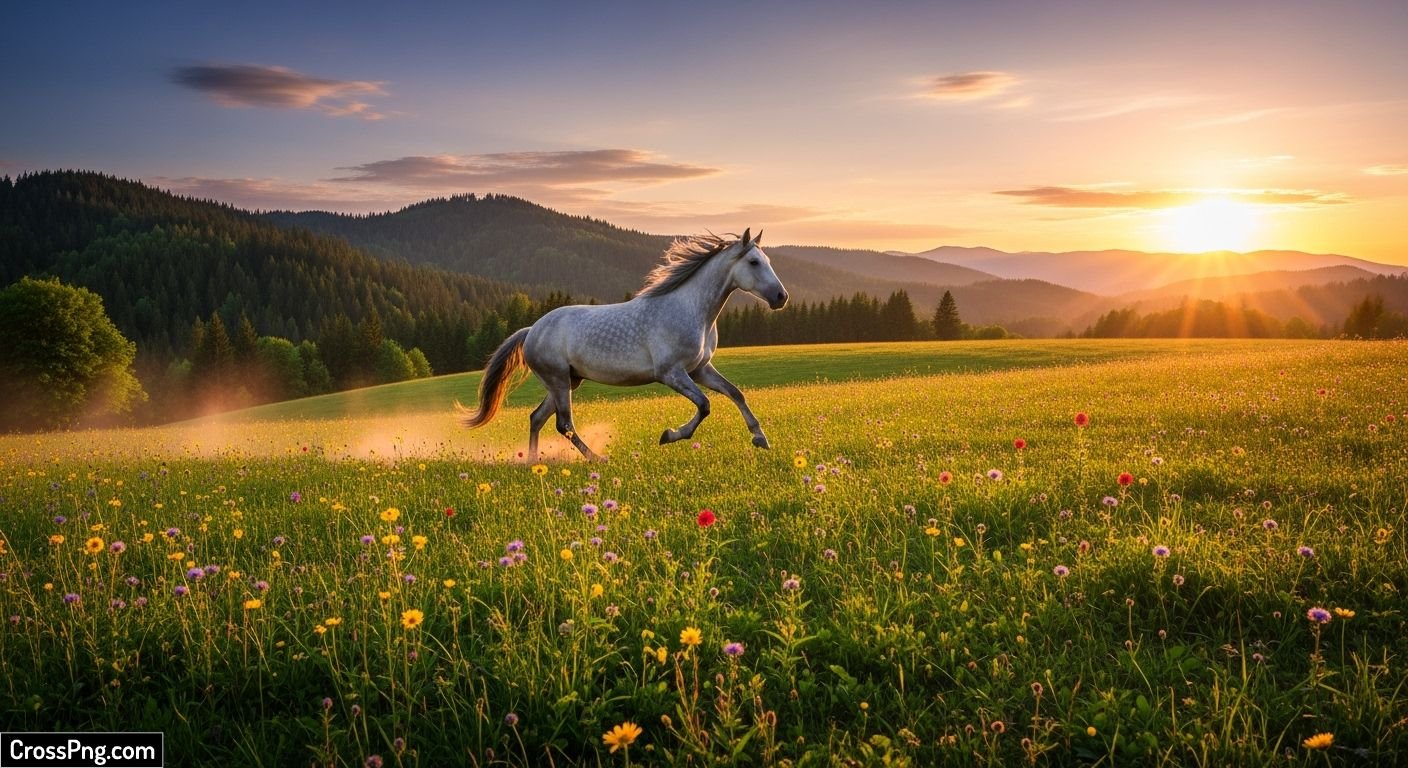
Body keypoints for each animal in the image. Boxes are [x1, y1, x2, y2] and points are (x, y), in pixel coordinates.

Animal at [456, 229, 788, 461]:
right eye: (754, 262)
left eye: (768, 261)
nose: (781, 297)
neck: (690, 309)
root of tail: (531, 330)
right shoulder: (671, 373)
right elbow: (705, 405)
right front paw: (668, 435)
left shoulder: (700, 369)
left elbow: (735, 393)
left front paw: (760, 438)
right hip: (558, 379)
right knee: (564, 424)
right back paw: (597, 458)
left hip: (567, 381)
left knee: (538, 418)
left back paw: (533, 462)